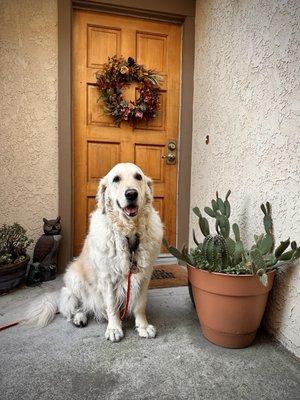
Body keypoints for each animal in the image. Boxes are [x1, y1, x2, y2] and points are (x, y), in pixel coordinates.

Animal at [25, 164, 164, 342]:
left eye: (138, 177)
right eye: (116, 179)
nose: (131, 194)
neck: (128, 233)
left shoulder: (144, 275)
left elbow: (140, 304)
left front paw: (143, 327)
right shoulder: (107, 278)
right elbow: (111, 306)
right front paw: (114, 328)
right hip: (75, 280)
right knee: (76, 306)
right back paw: (79, 317)